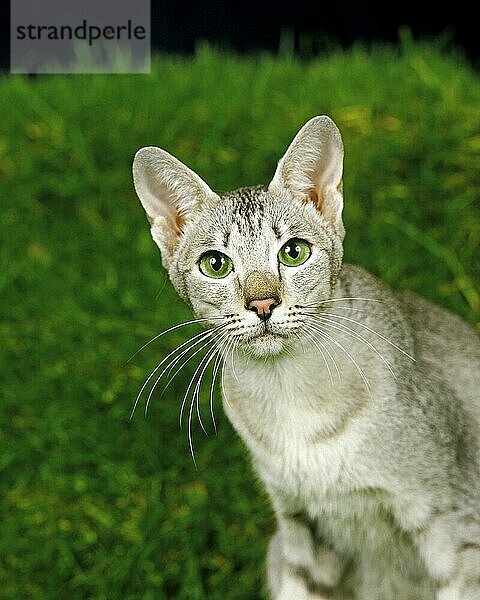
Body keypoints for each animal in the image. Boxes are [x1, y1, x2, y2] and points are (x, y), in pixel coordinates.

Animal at [132, 115, 480, 596]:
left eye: (294, 252)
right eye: (215, 264)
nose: (262, 304)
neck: (289, 392)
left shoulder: (454, 524)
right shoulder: (299, 528)